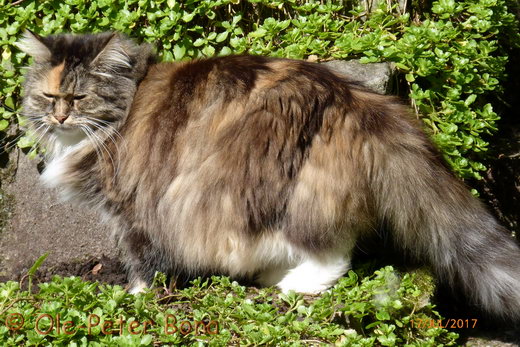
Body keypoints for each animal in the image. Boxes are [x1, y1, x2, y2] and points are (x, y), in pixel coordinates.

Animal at [18, 31, 520, 320]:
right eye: (48, 96)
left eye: (78, 98)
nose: (59, 117)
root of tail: (350, 97)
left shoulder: (133, 207)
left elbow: (142, 260)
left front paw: (135, 297)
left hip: (256, 187)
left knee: (333, 251)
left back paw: (295, 284)